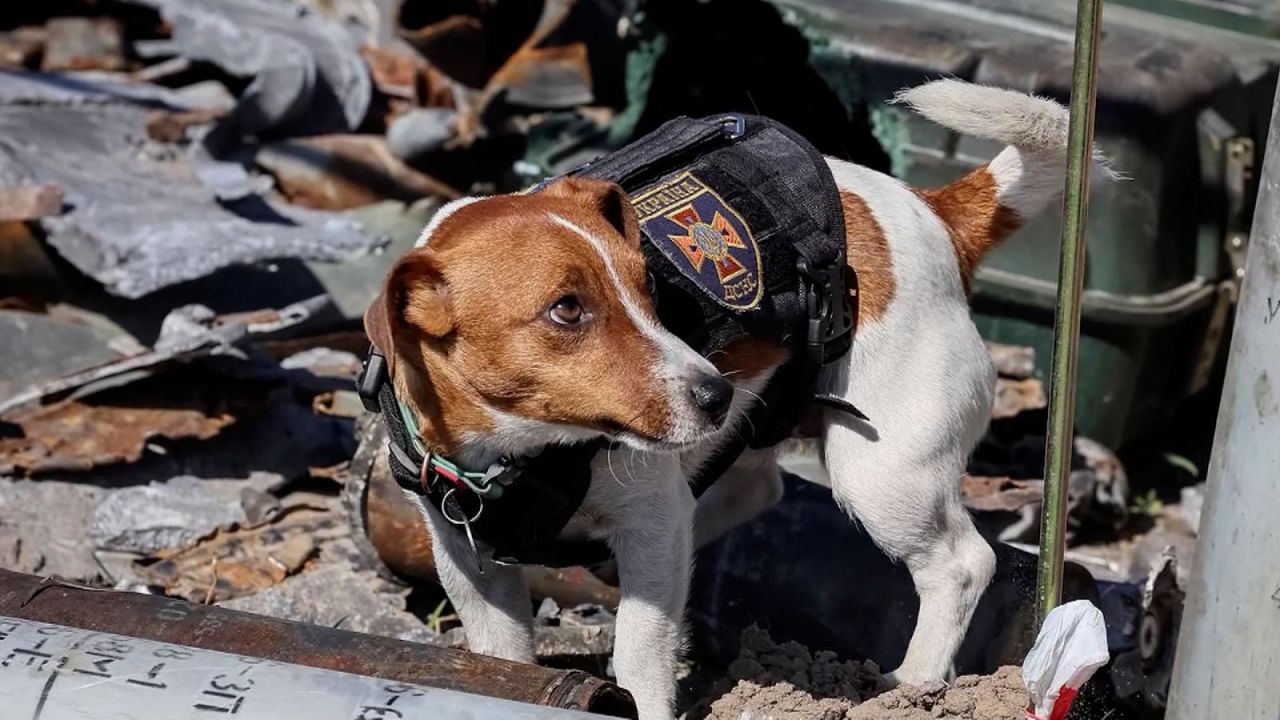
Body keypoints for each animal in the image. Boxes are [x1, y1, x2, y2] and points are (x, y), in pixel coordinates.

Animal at [366, 79, 1116, 717]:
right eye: (567, 310)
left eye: (649, 287)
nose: (715, 393)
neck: (516, 451)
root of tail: (932, 213)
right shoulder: (469, 563)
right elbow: (504, 654)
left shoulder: (650, 523)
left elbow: (640, 650)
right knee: (752, 492)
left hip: (884, 472)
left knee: (962, 564)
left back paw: (913, 683)